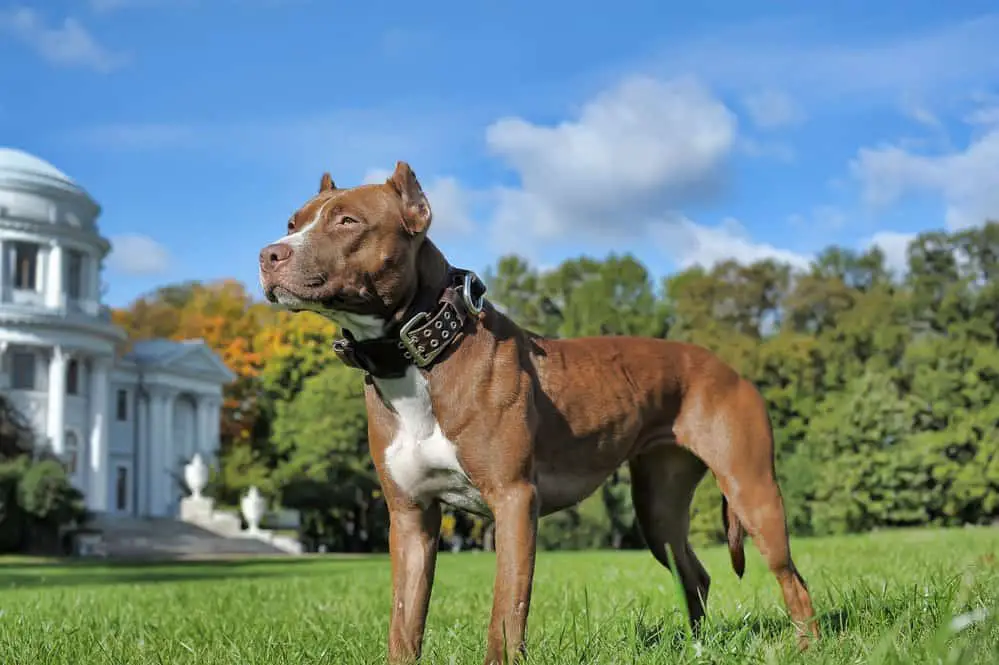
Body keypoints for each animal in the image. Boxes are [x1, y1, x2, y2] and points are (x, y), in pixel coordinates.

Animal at [260, 162, 820, 664]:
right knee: (695, 573)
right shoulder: (411, 518)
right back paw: (701, 650)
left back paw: (806, 648)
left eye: (347, 221)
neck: (421, 356)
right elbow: (405, 624)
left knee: (793, 579)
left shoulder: (513, 502)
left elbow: (506, 613)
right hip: (658, 508)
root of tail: (728, 366)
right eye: (291, 222)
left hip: (751, 491)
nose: (269, 254)